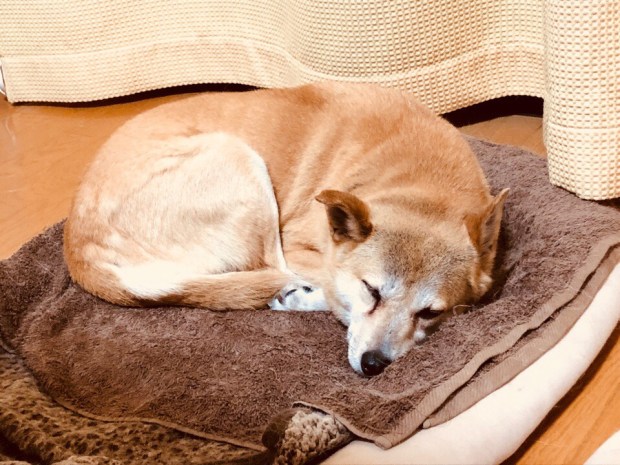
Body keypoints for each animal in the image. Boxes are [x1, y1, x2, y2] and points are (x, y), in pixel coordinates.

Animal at [64, 82, 508, 376]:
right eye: (372, 290)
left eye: (431, 313)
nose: (374, 365)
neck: (420, 182)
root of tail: (77, 245)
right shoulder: (303, 249)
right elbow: (332, 289)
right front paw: (308, 298)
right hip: (238, 159)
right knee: (273, 270)